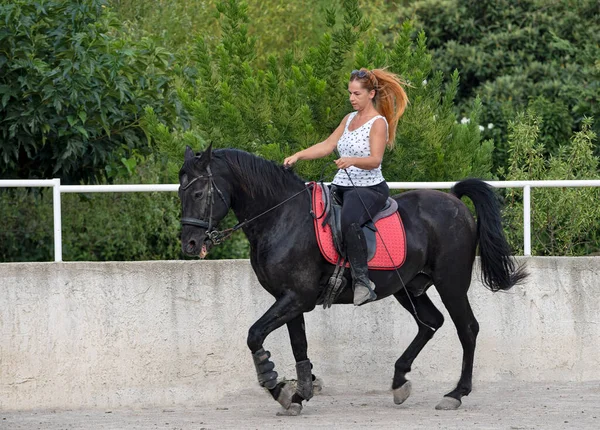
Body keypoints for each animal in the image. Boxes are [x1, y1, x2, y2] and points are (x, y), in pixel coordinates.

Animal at [178, 146, 524, 414]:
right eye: (181, 192)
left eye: (197, 192)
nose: (190, 244)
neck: (281, 217)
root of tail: (453, 200)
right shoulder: (290, 299)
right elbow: (298, 345)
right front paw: (299, 393)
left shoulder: (296, 298)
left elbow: (254, 335)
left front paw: (276, 386)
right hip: (408, 288)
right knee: (431, 322)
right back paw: (399, 381)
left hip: (451, 283)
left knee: (467, 329)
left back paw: (456, 394)